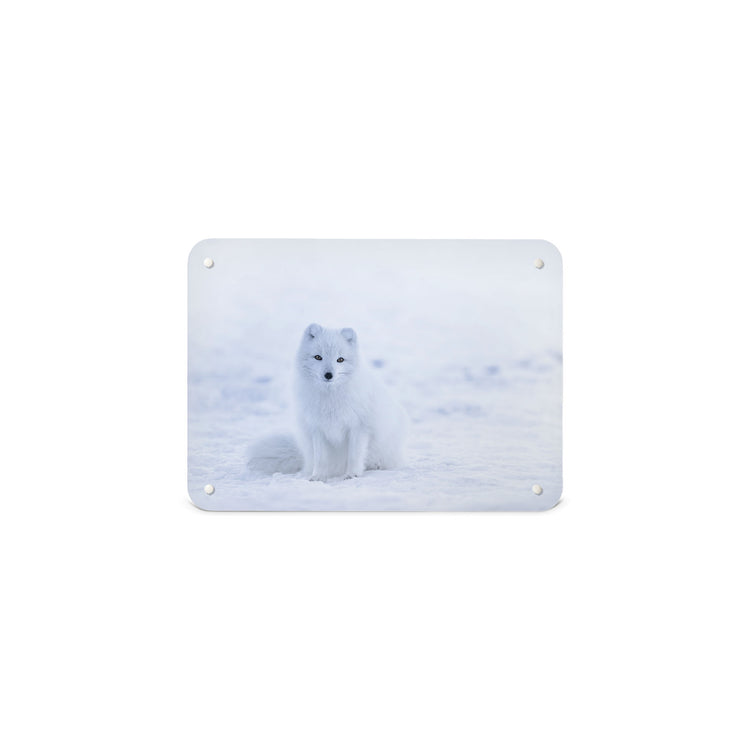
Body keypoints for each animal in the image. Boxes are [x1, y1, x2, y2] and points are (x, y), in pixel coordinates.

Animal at [247, 323, 408, 481]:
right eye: (318, 357)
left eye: (340, 359)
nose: (328, 375)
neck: (330, 398)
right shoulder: (317, 428)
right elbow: (320, 458)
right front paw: (317, 476)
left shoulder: (359, 427)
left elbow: (354, 455)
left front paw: (352, 474)